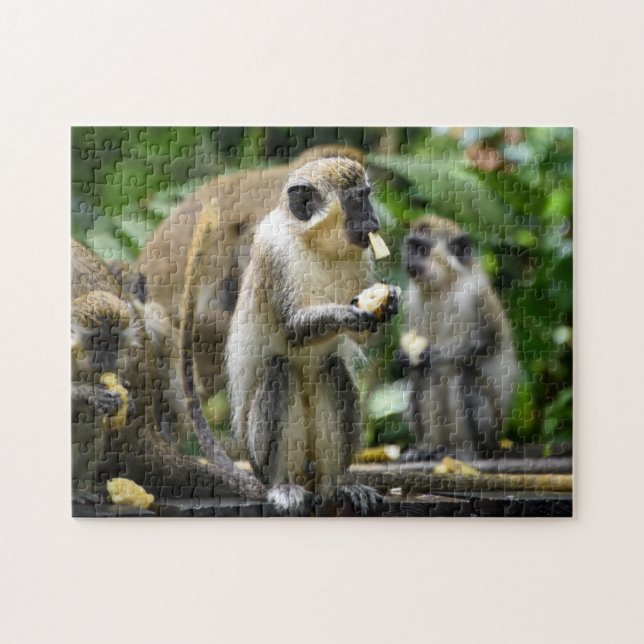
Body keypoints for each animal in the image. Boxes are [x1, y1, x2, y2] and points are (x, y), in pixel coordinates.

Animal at [217, 156, 399, 515]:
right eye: (357, 199)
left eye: (367, 196)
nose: (374, 220)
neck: (315, 243)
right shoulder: (273, 249)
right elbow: (291, 330)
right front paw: (347, 315)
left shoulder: (362, 255)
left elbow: (360, 340)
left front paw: (386, 303)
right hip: (257, 456)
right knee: (280, 370)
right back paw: (284, 486)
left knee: (333, 369)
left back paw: (337, 487)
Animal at [400, 216, 518, 459]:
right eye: (410, 247)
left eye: (421, 249)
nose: (409, 259)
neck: (444, 285)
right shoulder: (412, 299)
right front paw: (405, 358)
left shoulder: (475, 291)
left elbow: (489, 342)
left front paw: (430, 356)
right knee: (426, 379)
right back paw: (431, 448)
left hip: (492, 431)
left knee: (462, 376)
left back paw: (466, 451)